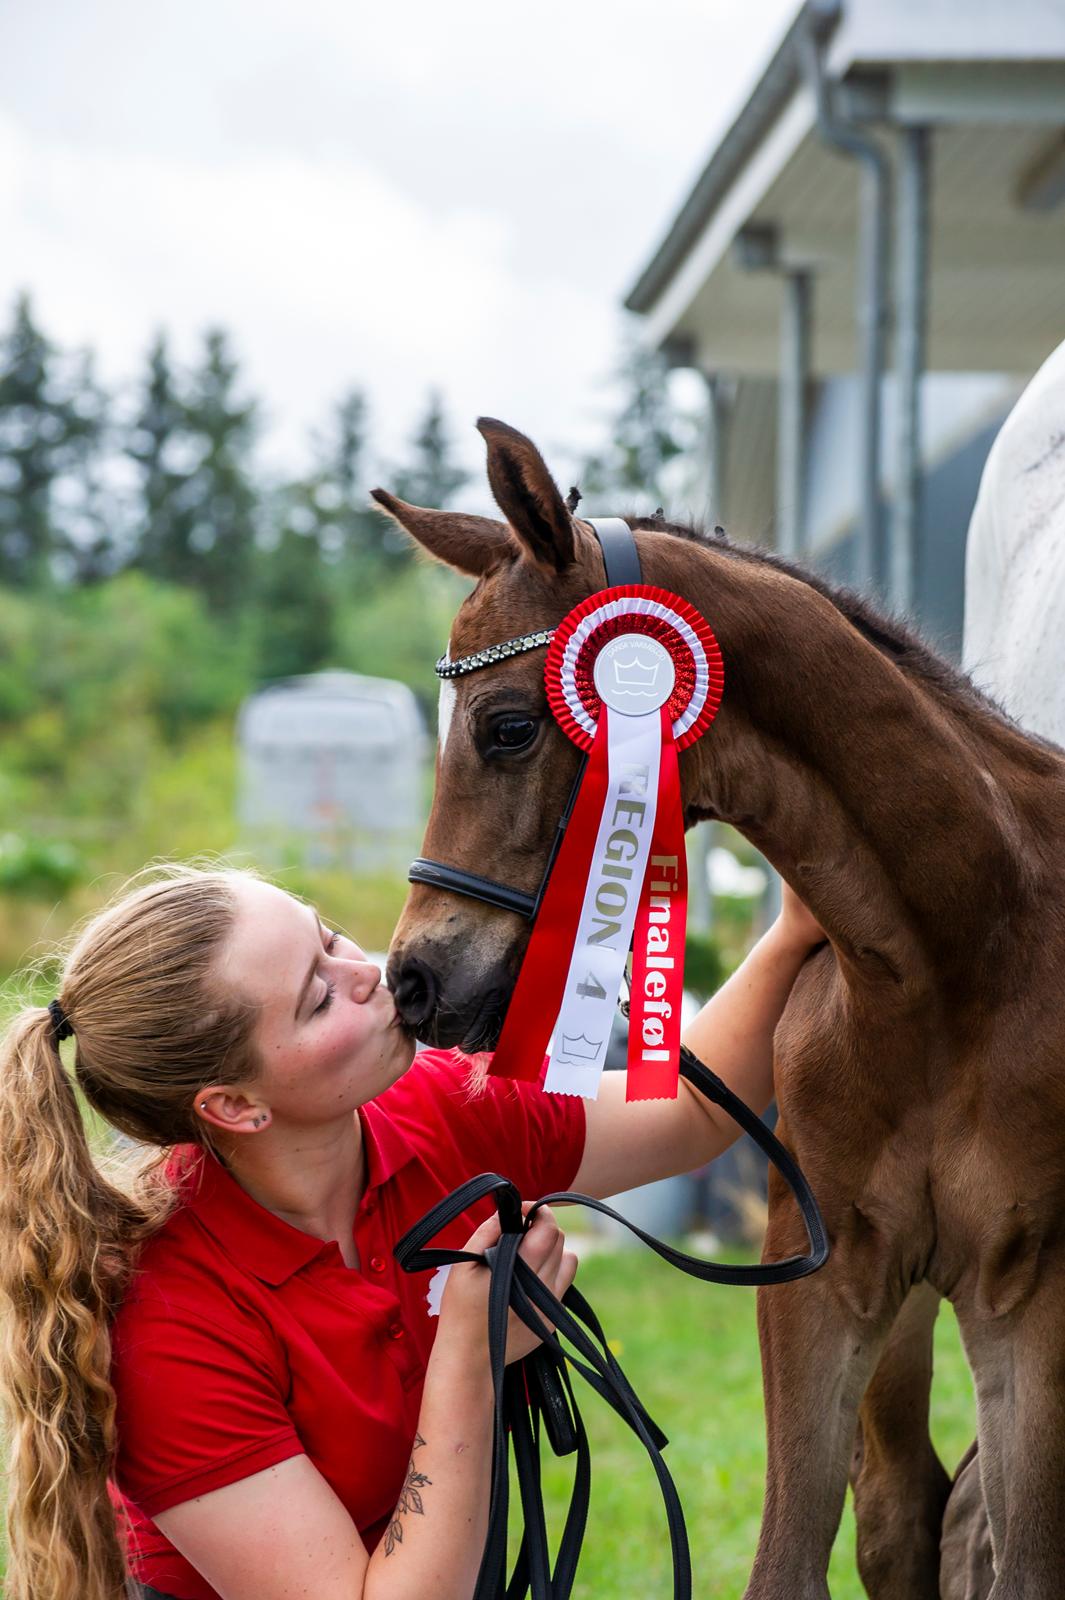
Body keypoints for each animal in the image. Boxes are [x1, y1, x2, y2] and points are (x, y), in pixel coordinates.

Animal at [377, 419, 1055, 1593]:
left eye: (506, 728)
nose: (416, 980)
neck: (956, 962)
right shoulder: (825, 1276)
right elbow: (790, 1560)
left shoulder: (1030, 1297)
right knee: (904, 1507)